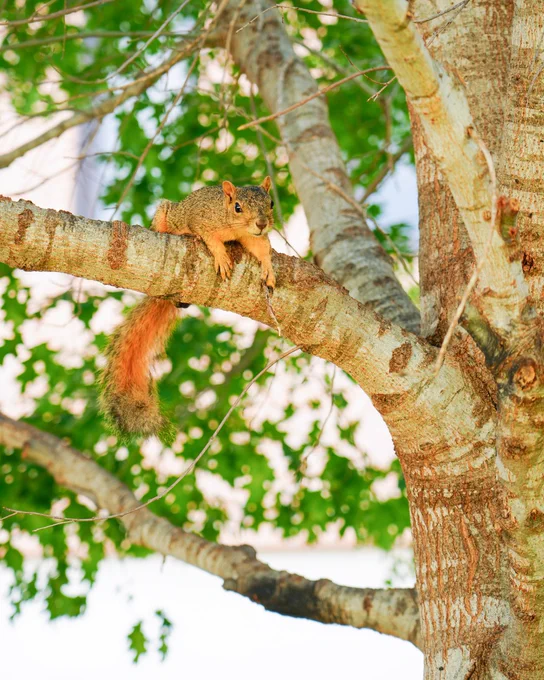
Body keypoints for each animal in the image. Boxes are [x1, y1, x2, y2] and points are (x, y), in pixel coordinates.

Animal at [99, 177, 276, 439]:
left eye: (271, 203)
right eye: (238, 207)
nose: (262, 223)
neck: (234, 227)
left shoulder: (253, 238)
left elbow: (263, 249)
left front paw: (269, 270)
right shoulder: (201, 219)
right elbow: (210, 238)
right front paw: (221, 256)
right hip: (167, 213)